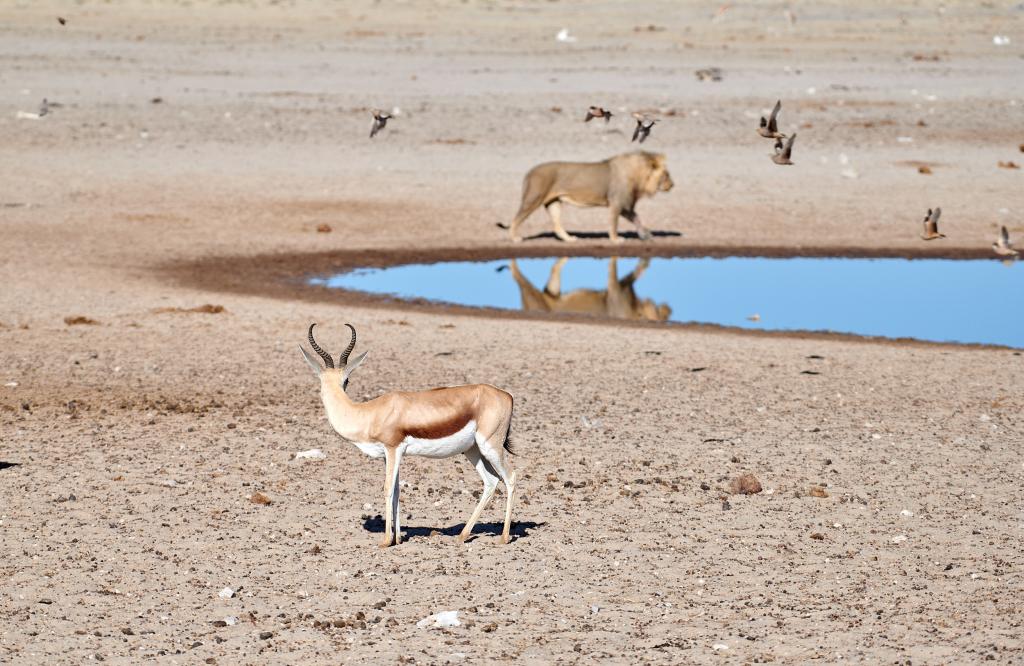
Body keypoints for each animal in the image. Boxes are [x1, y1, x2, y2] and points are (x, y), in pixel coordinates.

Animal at [497, 255, 671, 319]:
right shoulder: (616, 290)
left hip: (552, 292)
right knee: (518, 276)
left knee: (554, 271)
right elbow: (619, 269)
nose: (666, 307)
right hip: (534, 297)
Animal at [501, 150, 675, 240]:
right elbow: (614, 224)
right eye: (666, 175)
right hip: (533, 199)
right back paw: (514, 238)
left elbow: (637, 218)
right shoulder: (617, 203)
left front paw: (646, 234)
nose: (672, 185)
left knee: (556, 225)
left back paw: (569, 239)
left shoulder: (625, 205)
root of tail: (530, 171)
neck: (640, 178)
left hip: (554, 202)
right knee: (516, 219)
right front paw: (615, 240)